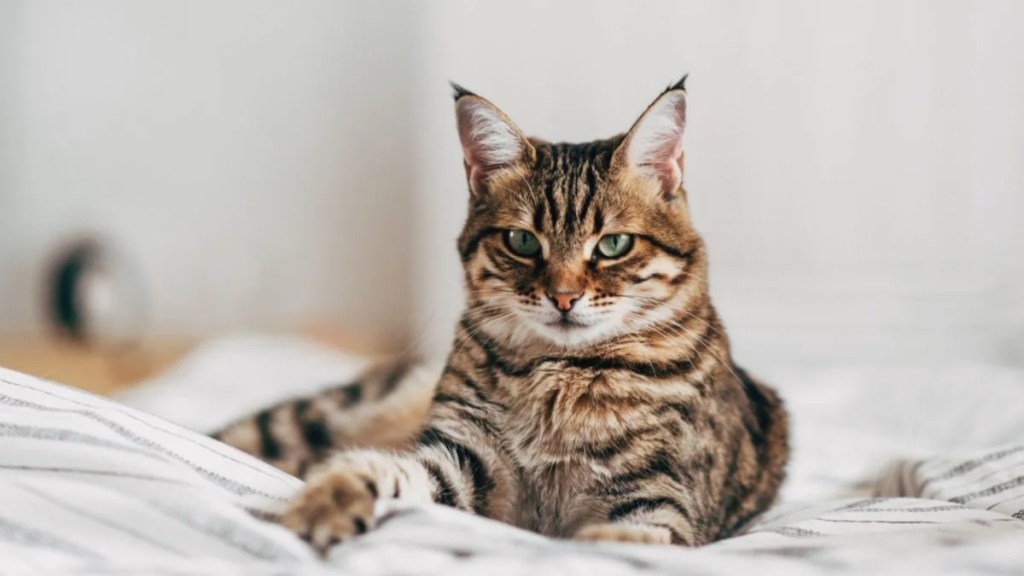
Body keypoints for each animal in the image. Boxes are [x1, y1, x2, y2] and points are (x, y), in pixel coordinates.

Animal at [211, 76, 786, 553]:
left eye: (614, 244)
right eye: (522, 241)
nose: (563, 297)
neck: (560, 375)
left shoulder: (659, 493)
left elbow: (626, 541)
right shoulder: (462, 456)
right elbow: (388, 471)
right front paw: (328, 498)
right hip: (325, 415)